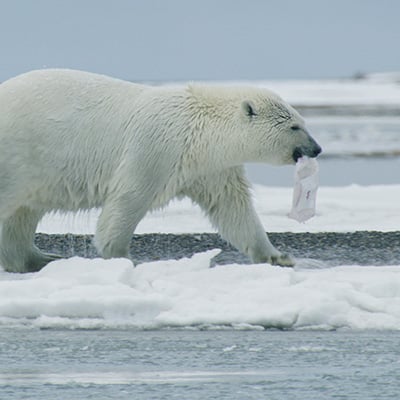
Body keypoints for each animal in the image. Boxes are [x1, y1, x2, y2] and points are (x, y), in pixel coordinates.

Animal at [0, 70, 320, 274]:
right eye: (295, 126)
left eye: (303, 121)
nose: (317, 148)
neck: (199, 127)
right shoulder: (154, 147)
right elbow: (129, 197)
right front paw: (122, 257)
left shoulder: (210, 167)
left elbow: (232, 206)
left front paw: (279, 257)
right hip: (18, 153)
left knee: (21, 215)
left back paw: (41, 258)